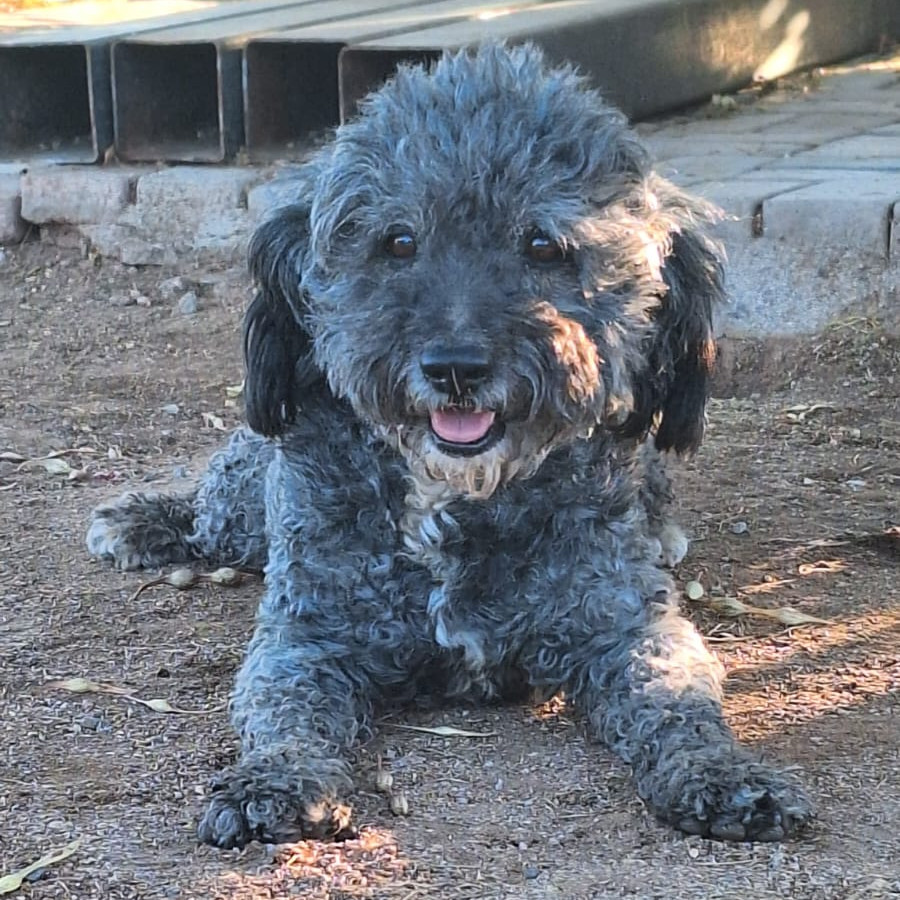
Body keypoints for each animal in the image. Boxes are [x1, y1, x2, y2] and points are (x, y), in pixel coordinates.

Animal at [86, 42, 816, 848]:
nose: (456, 367)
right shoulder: (308, 635)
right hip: (246, 497)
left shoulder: (620, 622)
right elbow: (284, 714)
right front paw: (272, 780)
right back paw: (145, 521)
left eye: (542, 243)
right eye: (398, 240)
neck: (452, 499)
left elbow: (678, 698)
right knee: (211, 511)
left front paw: (720, 771)